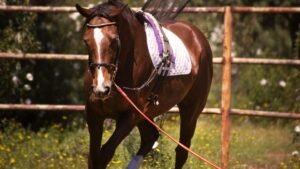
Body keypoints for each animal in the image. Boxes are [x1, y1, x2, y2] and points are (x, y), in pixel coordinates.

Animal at [77, 0, 213, 168]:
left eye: (114, 40)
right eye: (86, 41)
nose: (101, 89)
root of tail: (197, 36)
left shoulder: (130, 115)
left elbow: (104, 155)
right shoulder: (94, 114)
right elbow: (93, 158)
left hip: (191, 110)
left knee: (181, 150)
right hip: (146, 115)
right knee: (150, 138)